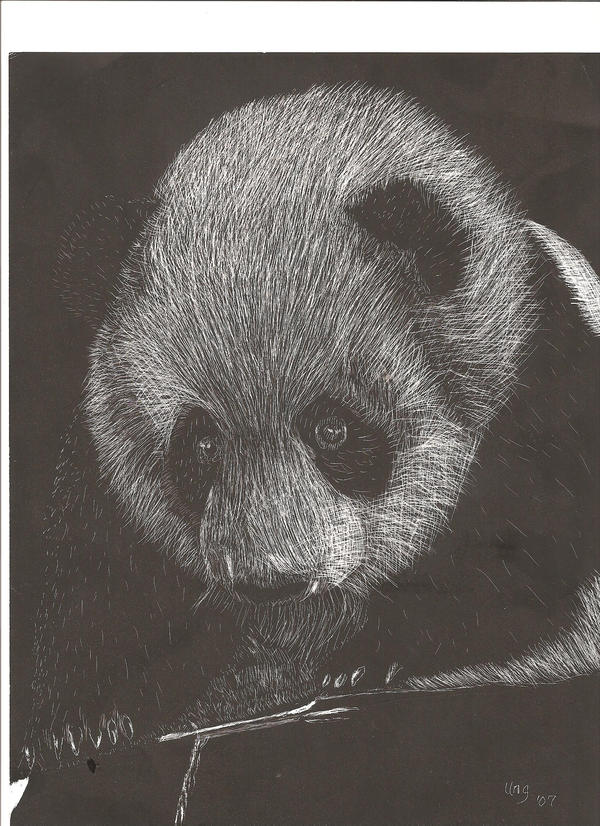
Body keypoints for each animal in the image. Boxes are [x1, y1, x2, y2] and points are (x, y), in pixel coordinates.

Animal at [21, 84, 599, 782]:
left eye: (333, 429)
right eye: (200, 443)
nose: (271, 581)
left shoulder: (541, 388)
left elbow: (528, 580)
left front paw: (365, 655)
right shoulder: (104, 474)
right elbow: (98, 583)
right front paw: (83, 725)